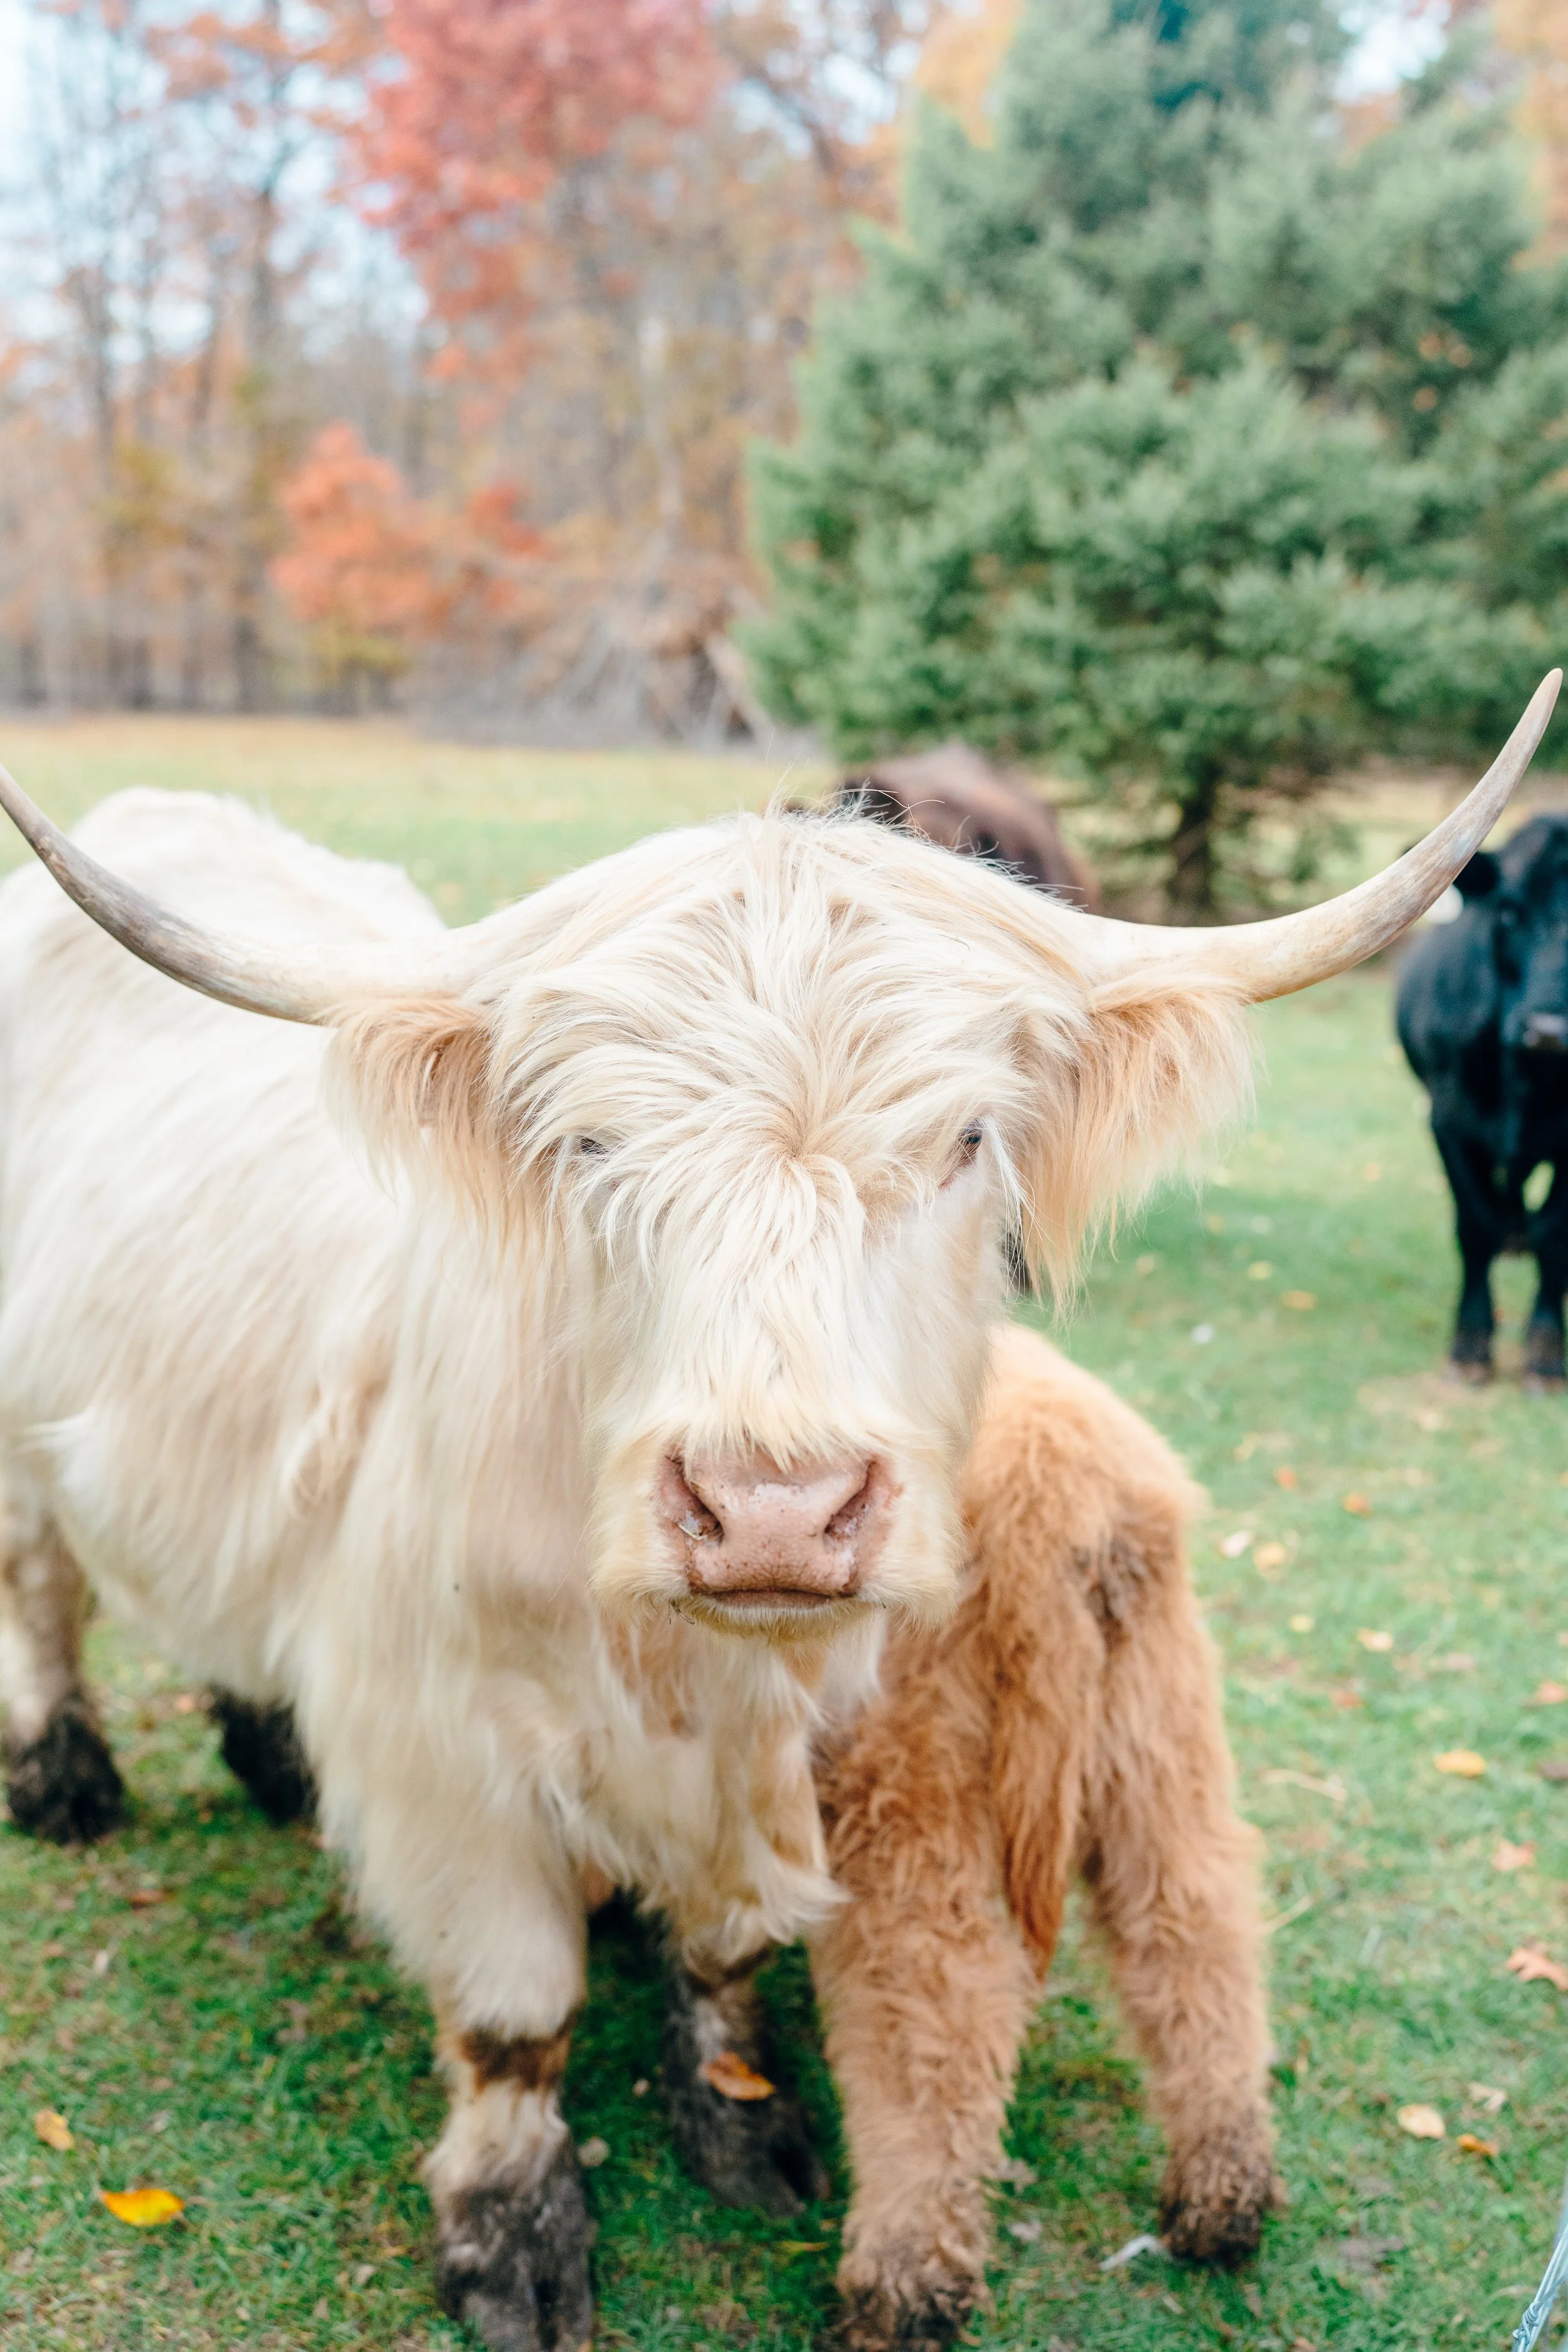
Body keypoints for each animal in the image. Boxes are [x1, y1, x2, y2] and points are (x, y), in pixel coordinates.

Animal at [1398, 808, 1568, 1386]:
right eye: (1510, 912)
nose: (1548, 1031)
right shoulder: (1449, 1122)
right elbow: (1475, 1226)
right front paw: (1470, 1346)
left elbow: (1553, 1234)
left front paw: (1546, 1354)